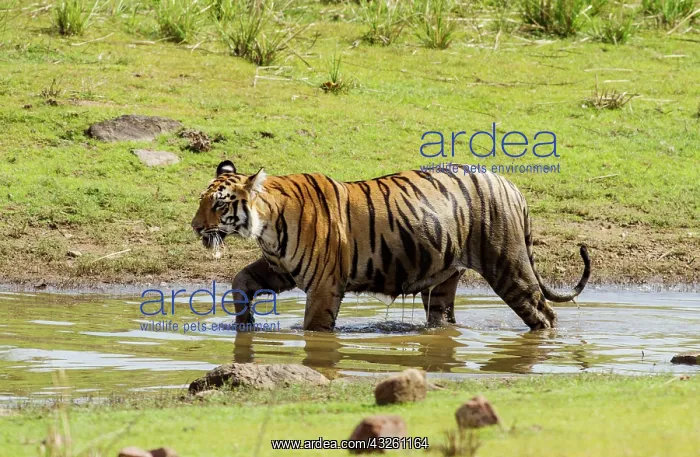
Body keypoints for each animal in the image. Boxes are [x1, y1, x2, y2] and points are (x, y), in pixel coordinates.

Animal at [191, 160, 591, 332]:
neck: (267, 226)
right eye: (202, 201)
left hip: (508, 267)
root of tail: (511, 185)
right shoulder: (278, 269)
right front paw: (245, 324)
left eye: (219, 205)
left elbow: (314, 328)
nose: (195, 228)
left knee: (544, 314)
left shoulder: (322, 286)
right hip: (443, 280)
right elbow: (240, 281)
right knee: (441, 317)